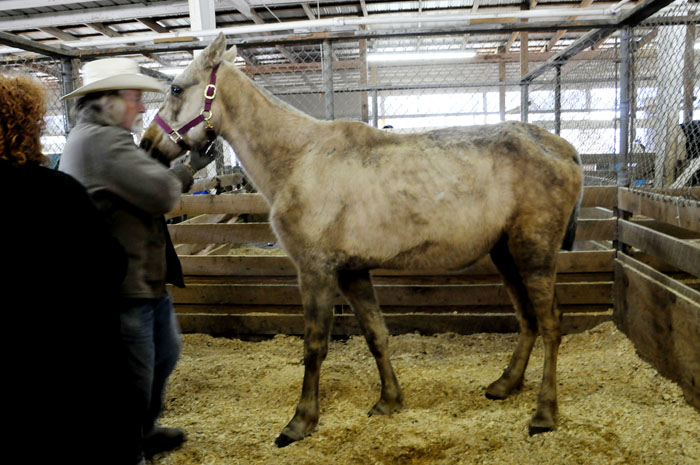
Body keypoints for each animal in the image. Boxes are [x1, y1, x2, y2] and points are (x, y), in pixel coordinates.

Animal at [140, 33, 583, 446]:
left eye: (176, 88)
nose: (147, 145)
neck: (300, 158)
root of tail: (563, 148)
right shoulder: (352, 271)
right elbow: (376, 334)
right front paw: (389, 400)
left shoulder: (315, 270)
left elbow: (315, 345)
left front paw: (300, 421)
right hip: (506, 254)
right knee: (528, 319)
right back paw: (505, 385)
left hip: (535, 254)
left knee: (551, 324)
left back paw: (544, 414)